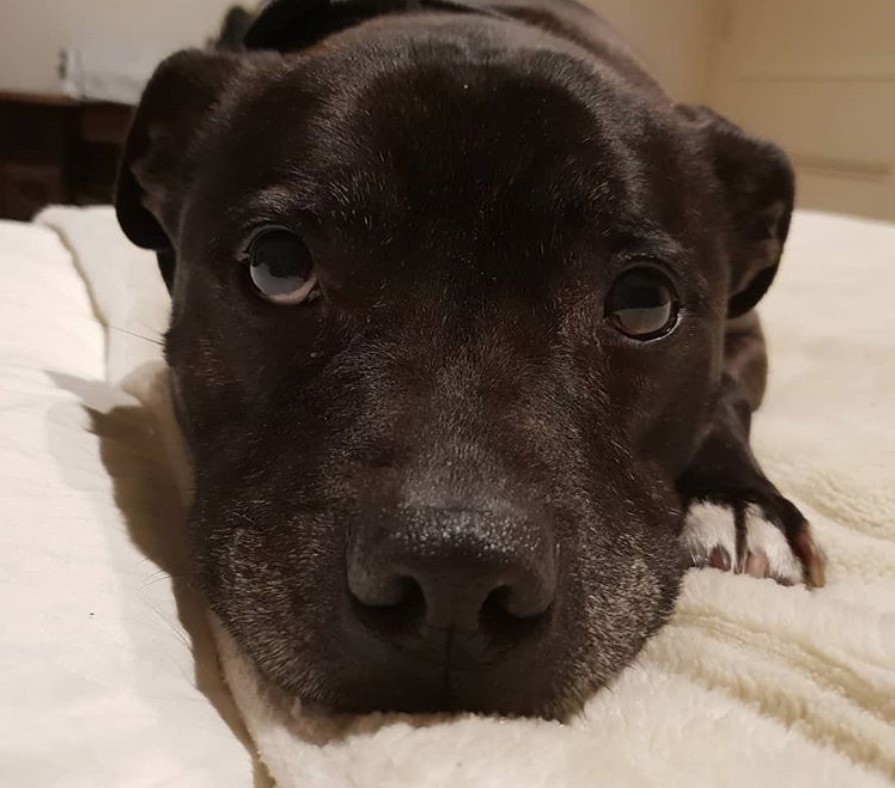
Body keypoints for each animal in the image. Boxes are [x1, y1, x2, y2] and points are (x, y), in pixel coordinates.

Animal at [115, 0, 828, 716]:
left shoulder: (745, 331)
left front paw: (740, 502)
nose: (454, 578)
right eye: (277, 264)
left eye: (645, 303)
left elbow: (724, 401)